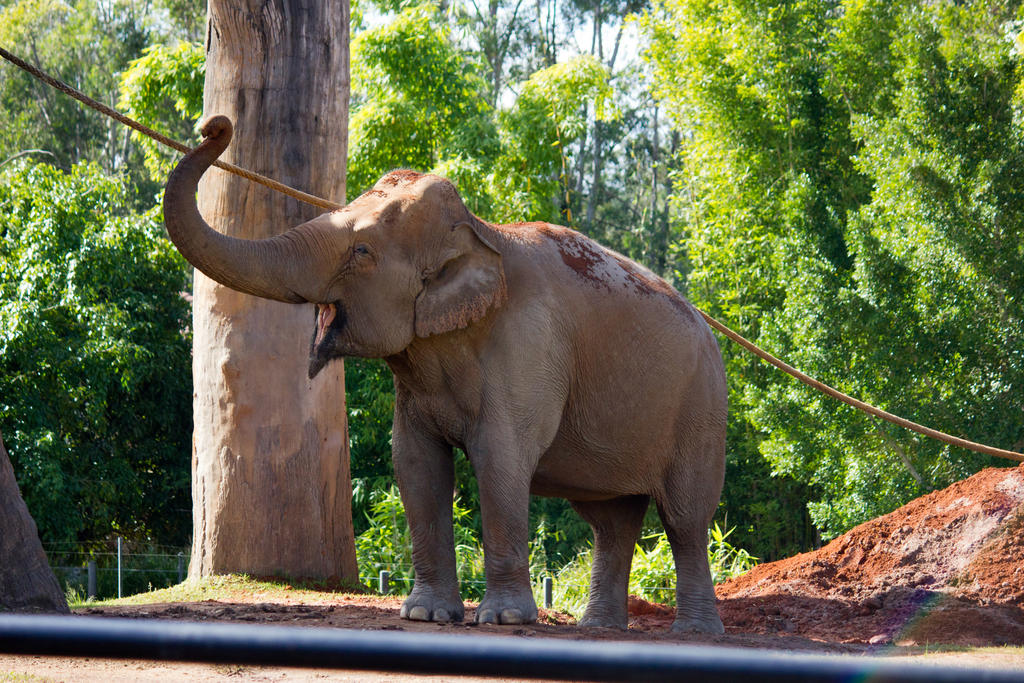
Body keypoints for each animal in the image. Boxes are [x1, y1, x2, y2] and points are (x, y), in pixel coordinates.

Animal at [163, 114, 729, 634]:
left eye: (362, 252)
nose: (214, 125)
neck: (480, 230)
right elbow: (415, 462)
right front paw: (426, 614)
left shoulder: (529, 347)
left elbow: (501, 458)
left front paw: (503, 620)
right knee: (611, 521)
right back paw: (600, 629)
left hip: (702, 409)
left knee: (685, 518)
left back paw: (694, 632)